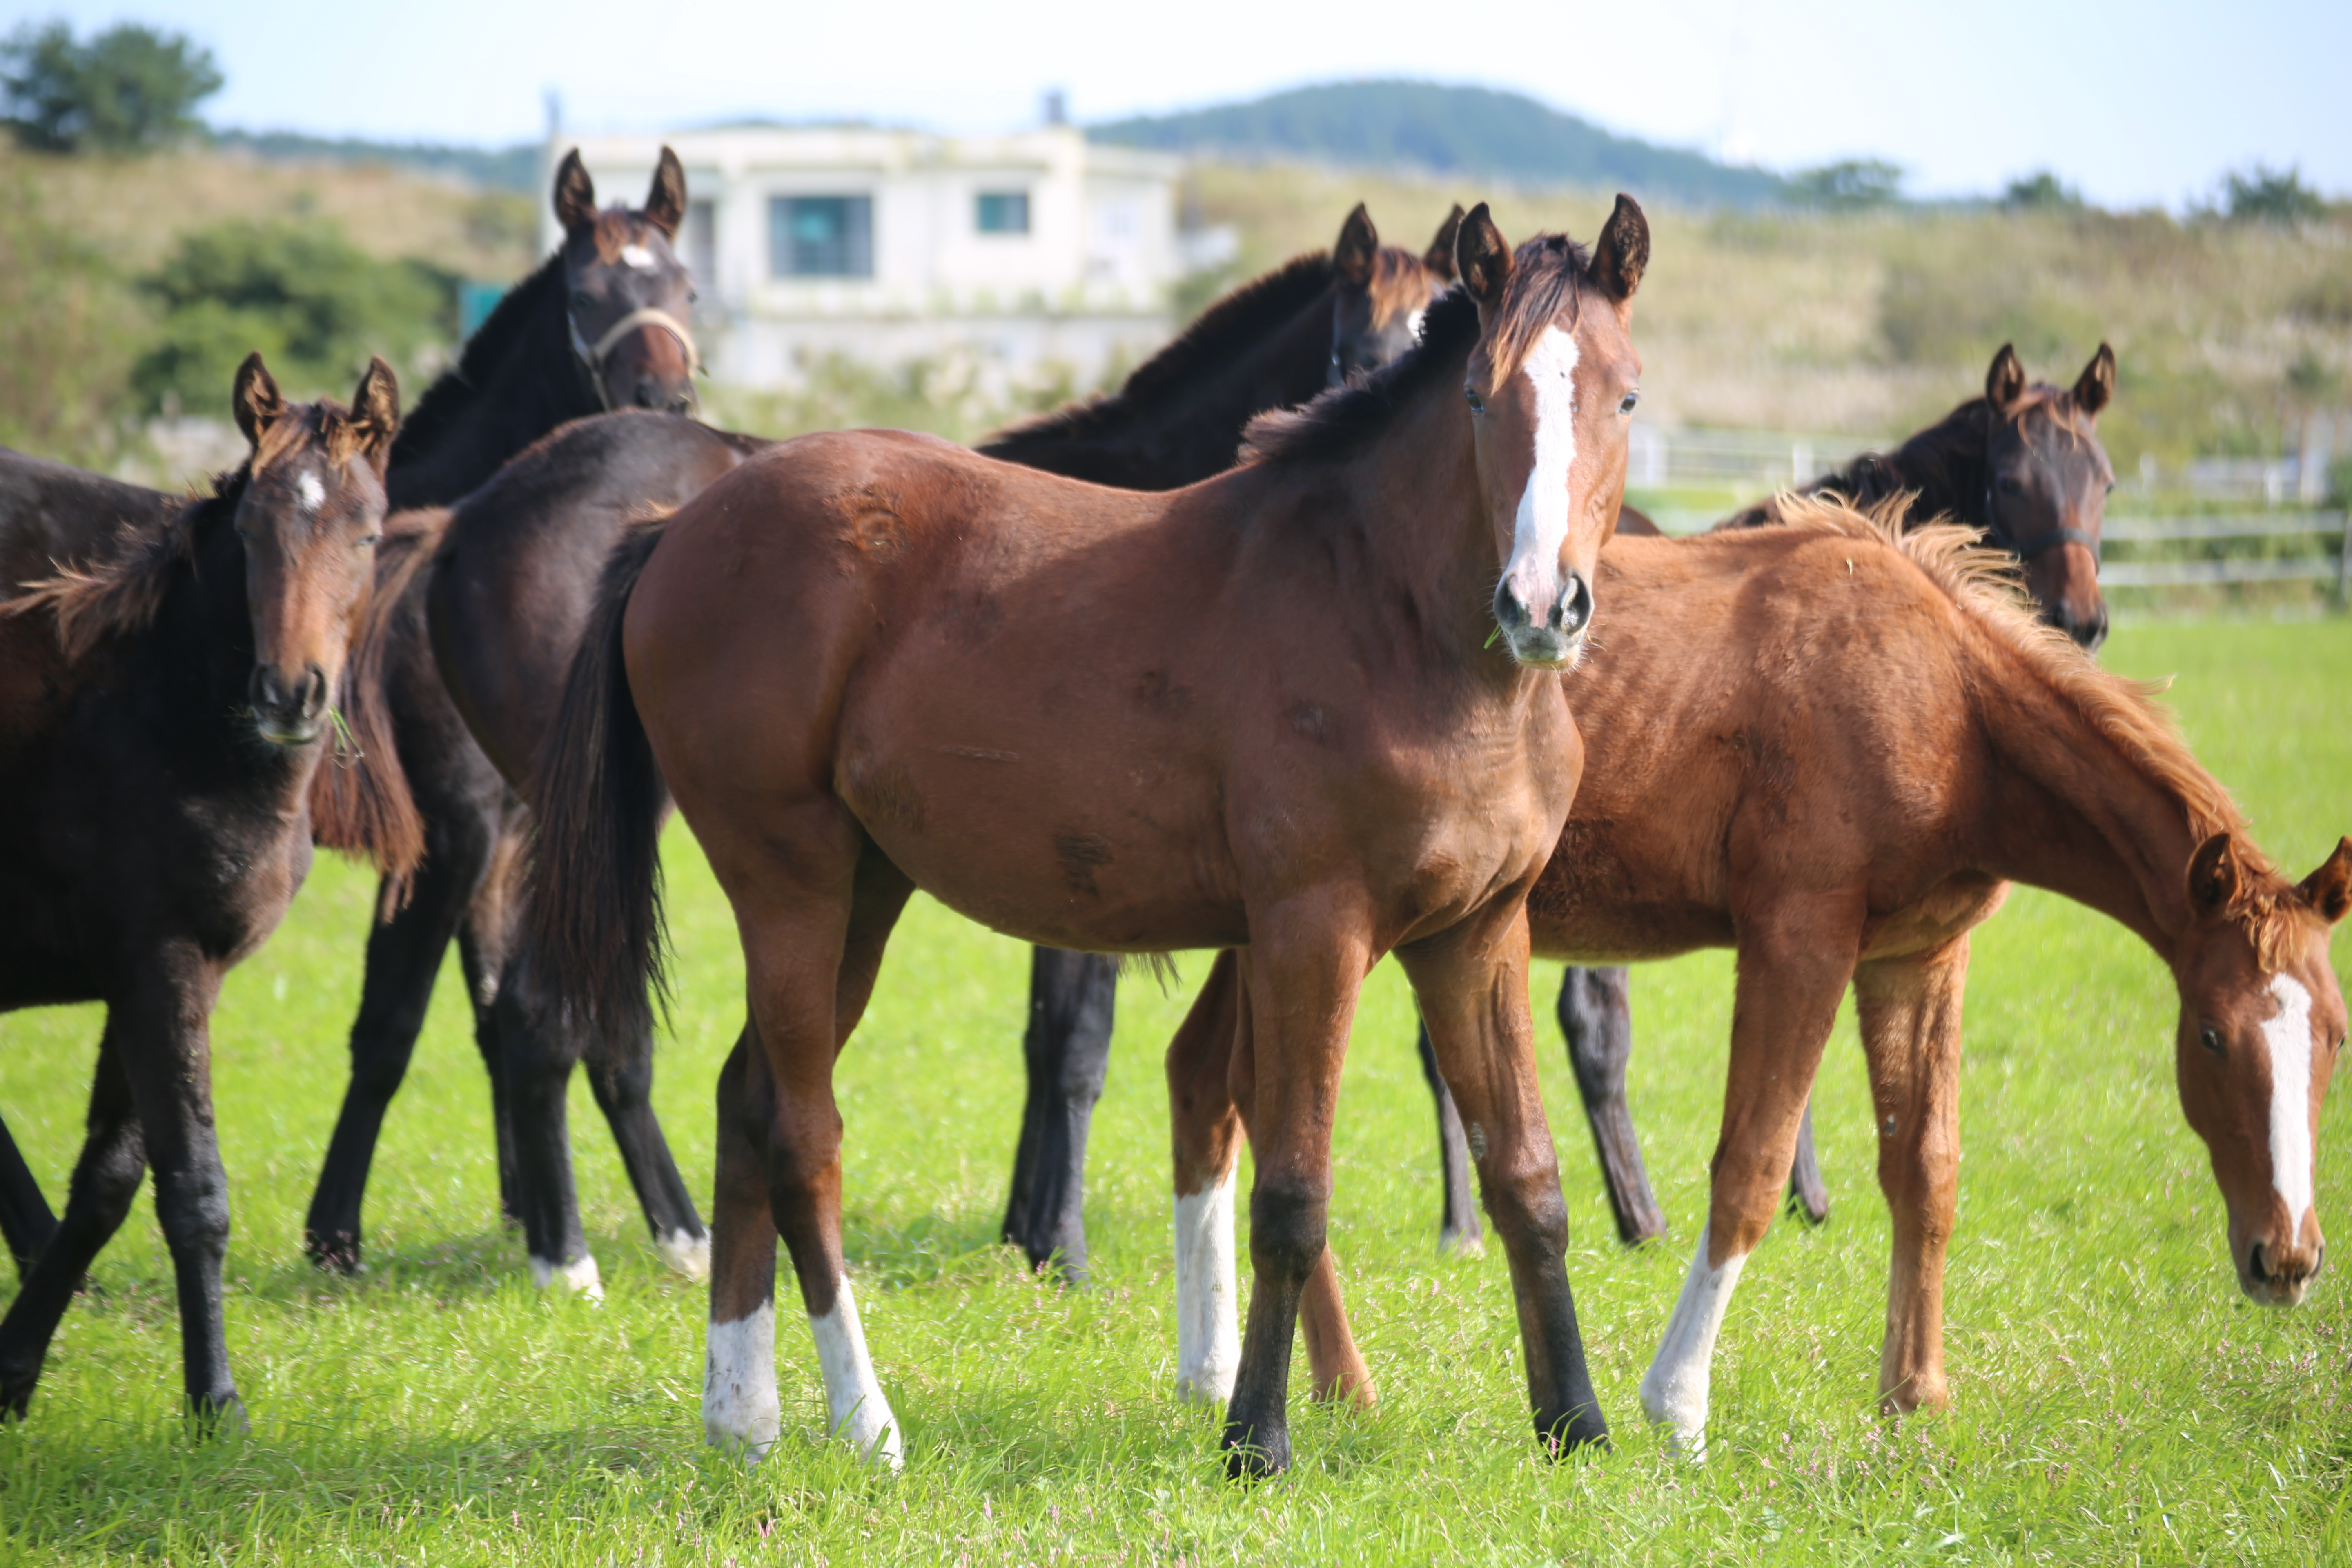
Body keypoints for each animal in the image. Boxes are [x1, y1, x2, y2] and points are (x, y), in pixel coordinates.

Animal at [0, 355, 416, 1420]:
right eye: (253, 535)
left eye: (366, 532)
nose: (292, 693)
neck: (155, 712)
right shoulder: (159, 965)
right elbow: (192, 1188)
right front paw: (216, 1399)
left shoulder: (177, 972)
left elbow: (108, 1180)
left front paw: (13, 1369)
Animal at [515, 205, 1656, 1476]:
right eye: (1475, 395)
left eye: (1623, 395)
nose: (1541, 604)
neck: (1397, 622)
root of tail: (676, 526)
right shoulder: (1313, 933)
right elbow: (1292, 1192)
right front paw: (1256, 1439)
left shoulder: (1476, 934)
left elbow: (1527, 1177)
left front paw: (1576, 1424)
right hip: (789, 887)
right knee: (802, 1132)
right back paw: (867, 1422)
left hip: (865, 893)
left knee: (744, 1098)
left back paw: (742, 1413)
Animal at [1185, 501, 2342, 1457]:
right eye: (2208, 1035)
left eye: (2334, 1037)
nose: (2283, 1258)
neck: (1944, 703)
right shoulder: (1798, 936)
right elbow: (1750, 1167)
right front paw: (1677, 1406)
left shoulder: (1918, 958)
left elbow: (1924, 1167)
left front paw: (1913, 1395)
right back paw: (1326, 1382)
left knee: (1204, 1081)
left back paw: (1227, 1372)